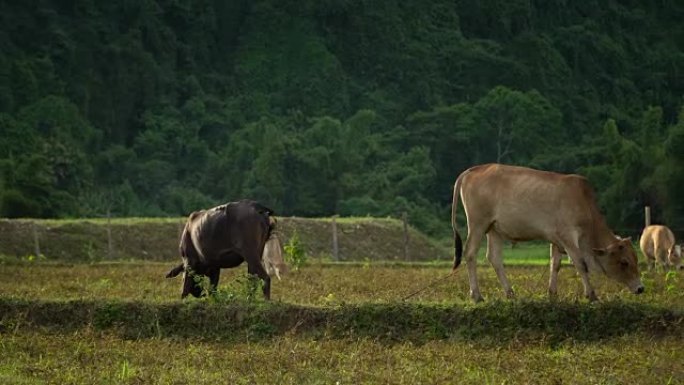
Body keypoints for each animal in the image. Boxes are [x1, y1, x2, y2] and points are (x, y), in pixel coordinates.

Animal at [452, 164, 644, 302]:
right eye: (624, 262)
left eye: (636, 259)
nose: (641, 288)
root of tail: (472, 170)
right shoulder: (568, 236)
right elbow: (580, 264)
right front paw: (591, 294)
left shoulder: (557, 240)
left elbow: (555, 264)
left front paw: (552, 293)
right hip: (478, 224)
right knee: (470, 253)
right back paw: (477, 295)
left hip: (494, 229)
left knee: (494, 258)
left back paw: (510, 293)